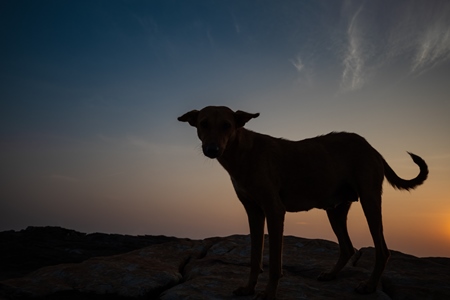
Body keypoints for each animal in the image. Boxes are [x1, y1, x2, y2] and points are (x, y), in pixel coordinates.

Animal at [178, 106, 428, 298]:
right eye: (203, 124)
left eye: (226, 125)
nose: (212, 150)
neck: (243, 152)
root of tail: (373, 148)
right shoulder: (254, 213)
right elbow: (255, 257)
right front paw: (249, 288)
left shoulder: (274, 211)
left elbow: (274, 263)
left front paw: (269, 293)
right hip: (336, 211)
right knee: (347, 247)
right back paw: (331, 274)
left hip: (370, 203)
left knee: (383, 251)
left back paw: (369, 286)